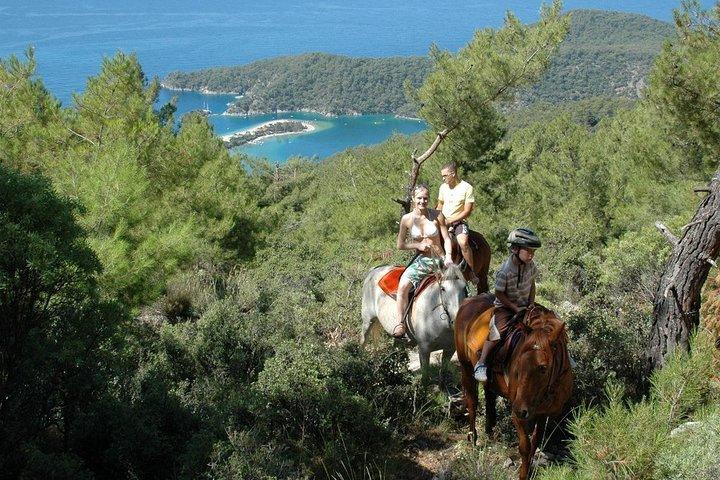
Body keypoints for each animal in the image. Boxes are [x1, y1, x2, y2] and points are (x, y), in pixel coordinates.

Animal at [455, 298, 573, 480]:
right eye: (518, 365)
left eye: (543, 368)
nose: (520, 409)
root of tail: (469, 301)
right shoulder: (519, 414)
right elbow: (524, 446)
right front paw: (523, 474)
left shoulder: (544, 414)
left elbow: (535, 443)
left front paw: (530, 469)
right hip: (465, 367)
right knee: (472, 403)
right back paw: (473, 438)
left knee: (489, 397)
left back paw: (489, 431)